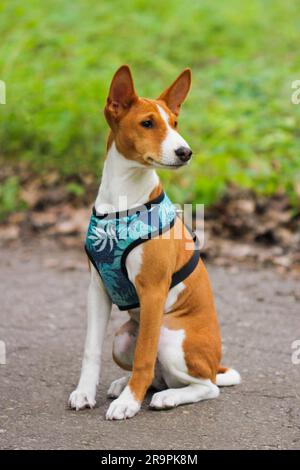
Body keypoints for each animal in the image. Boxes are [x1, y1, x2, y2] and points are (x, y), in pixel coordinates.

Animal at [69, 64, 240, 420]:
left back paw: (166, 397)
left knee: (205, 386)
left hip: (170, 337)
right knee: (159, 375)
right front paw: (85, 393)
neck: (122, 201)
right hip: (122, 339)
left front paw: (129, 404)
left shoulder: (152, 290)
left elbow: (144, 357)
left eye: (175, 124)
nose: (185, 152)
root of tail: (215, 363)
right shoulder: (97, 288)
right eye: (147, 123)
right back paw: (127, 385)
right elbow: (91, 350)